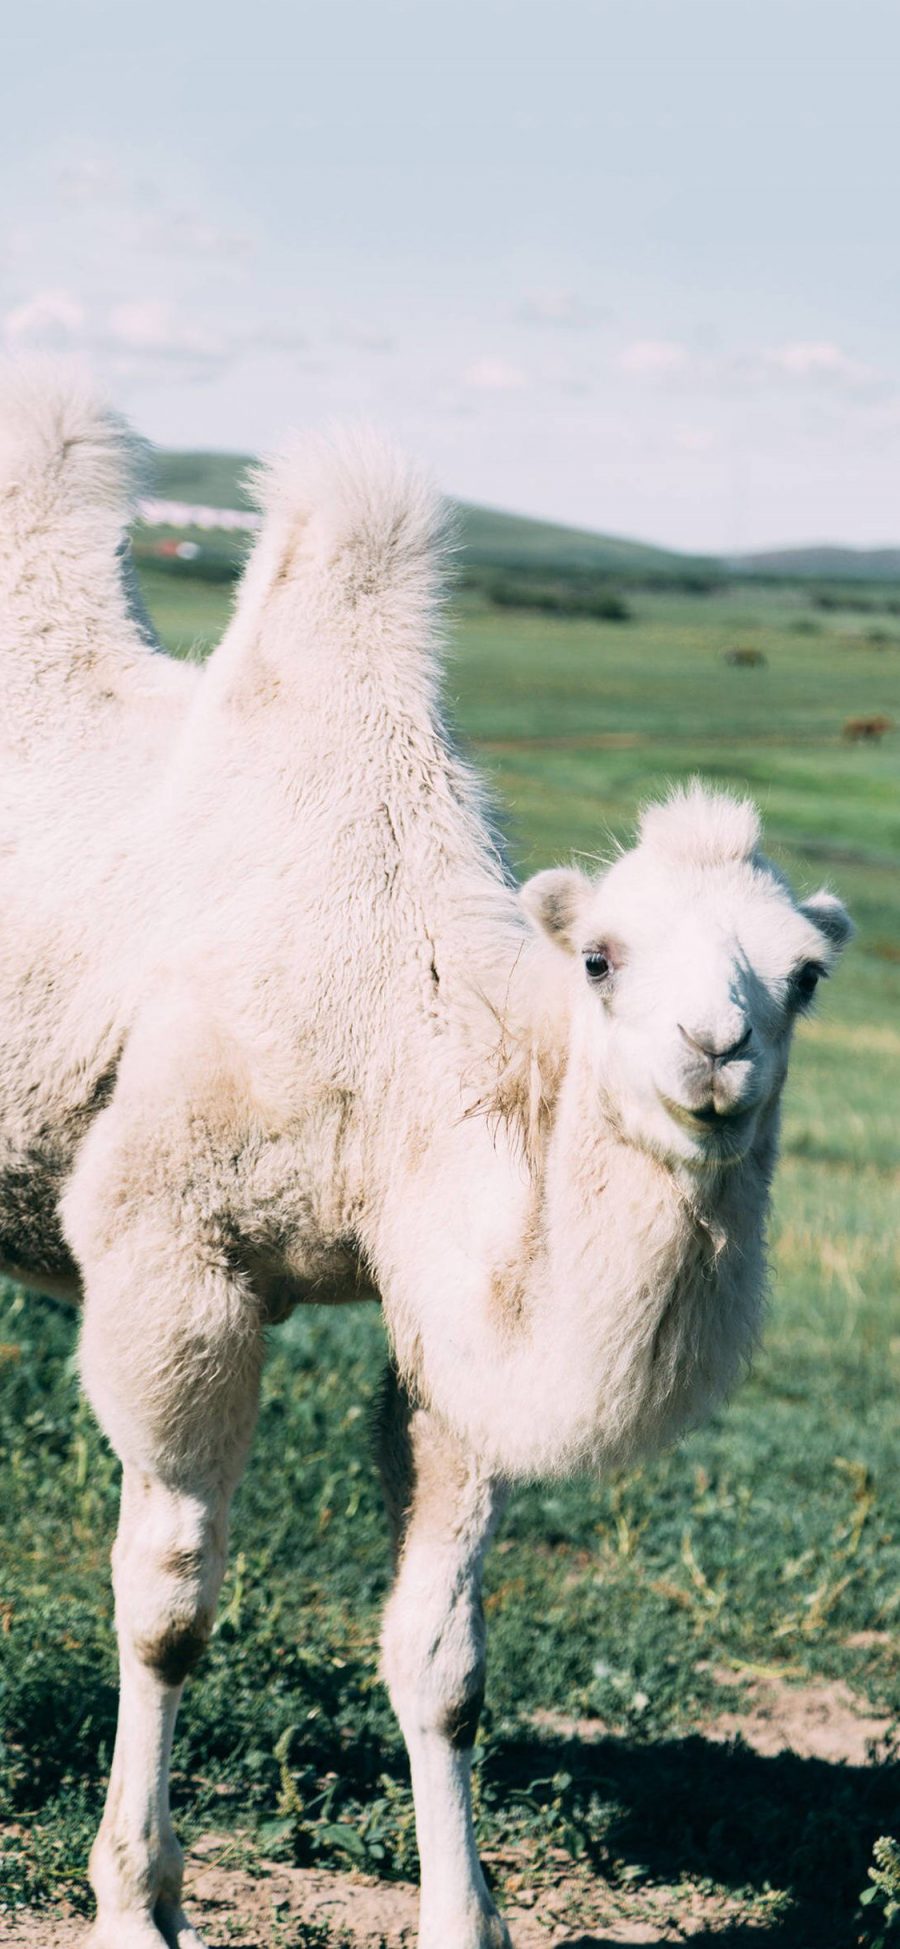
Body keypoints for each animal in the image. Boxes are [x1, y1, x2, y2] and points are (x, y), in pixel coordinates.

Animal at [0, 368, 849, 1949]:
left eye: (804, 974)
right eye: (600, 957)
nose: (714, 1051)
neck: (390, 1018)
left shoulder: (439, 1304)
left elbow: (442, 1653)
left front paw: (468, 1915)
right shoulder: (170, 1253)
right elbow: (168, 1603)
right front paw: (138, 1897)